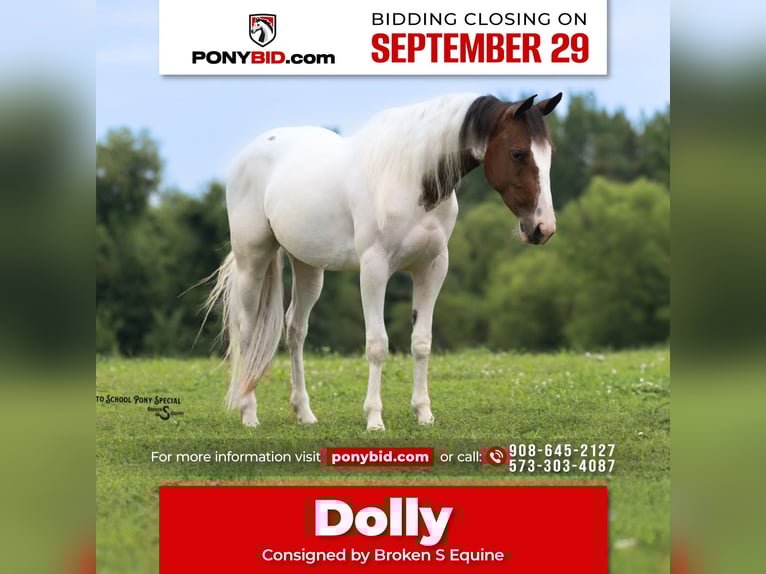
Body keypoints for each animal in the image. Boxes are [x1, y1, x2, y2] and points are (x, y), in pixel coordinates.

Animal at [205, 92, 562, 430]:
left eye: (551, 153)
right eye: (517, 153)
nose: (542, 228)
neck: (411, 178)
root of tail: (250, 152)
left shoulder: (431, 268)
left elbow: (421, 342)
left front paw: (423, 413)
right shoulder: (374, 269)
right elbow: (377, 344)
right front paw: (374, 418)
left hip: (308, 266)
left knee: (295, 329)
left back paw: (304, 413)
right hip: (252, 259)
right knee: (247, 331)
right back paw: (248, 413)